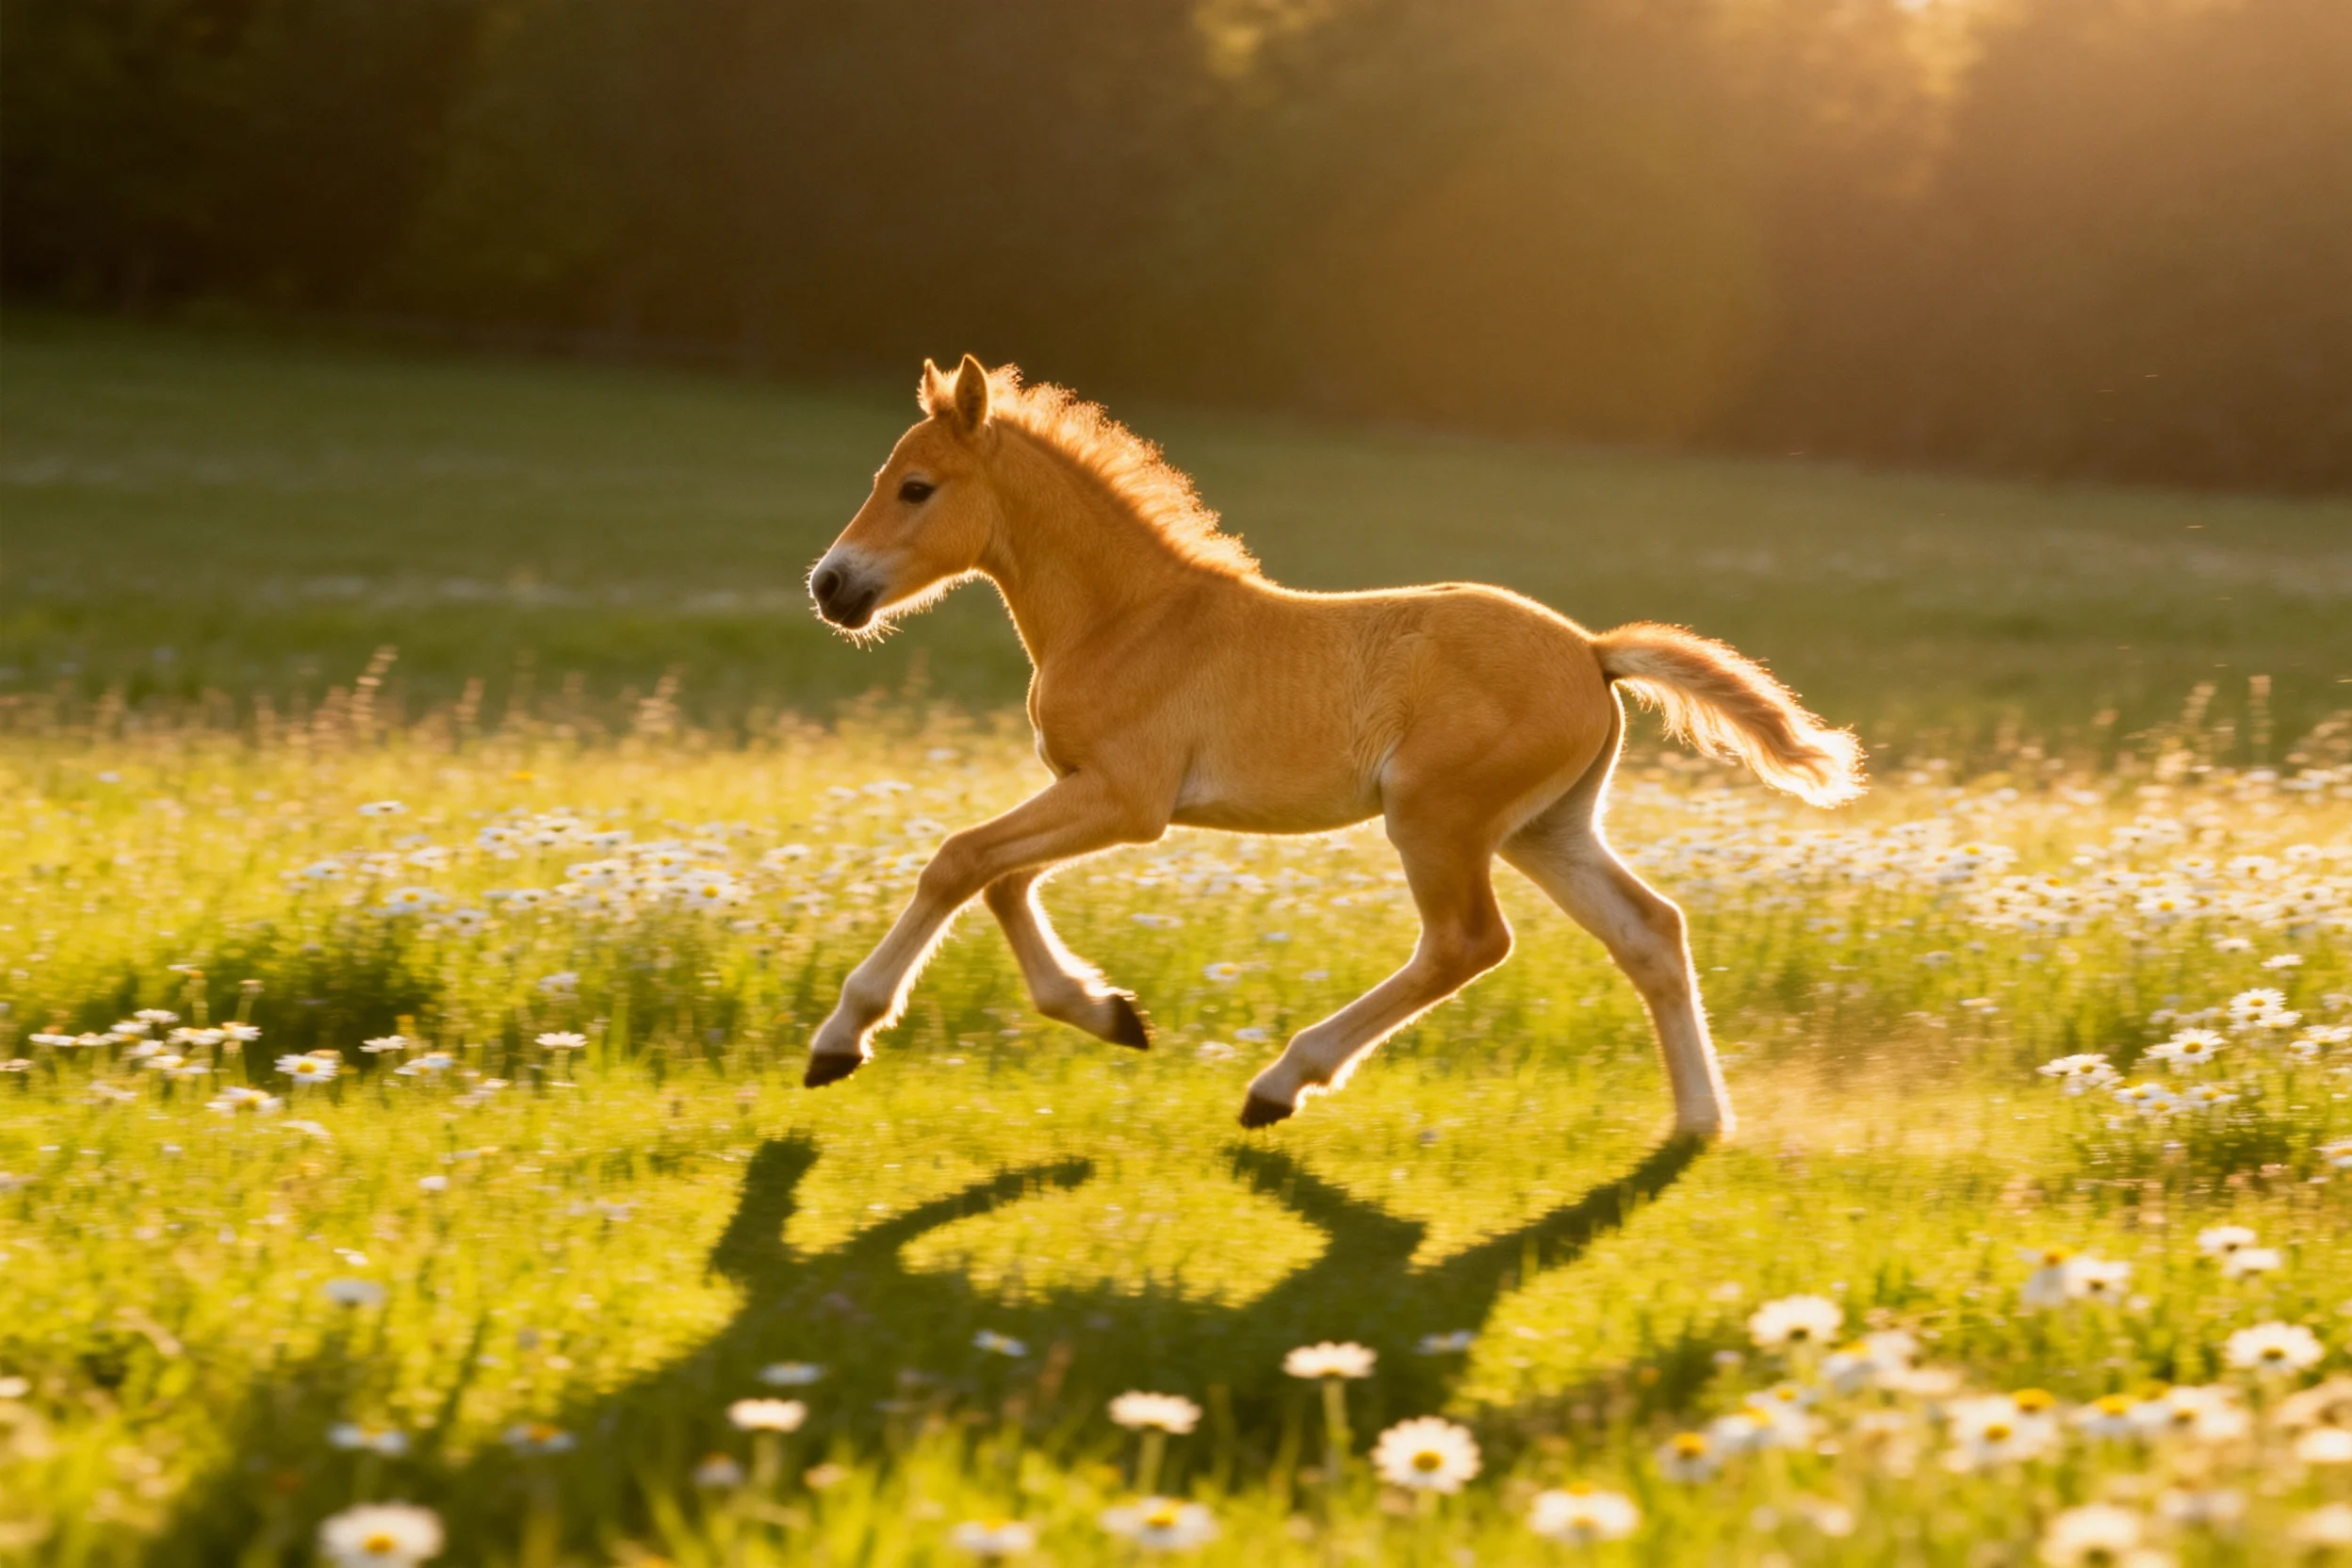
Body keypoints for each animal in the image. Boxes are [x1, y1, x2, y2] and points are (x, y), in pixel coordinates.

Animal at [802, 355, 1865, 1138]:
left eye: (916, 487)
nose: (831, 585)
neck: (1131, 617)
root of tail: (1594, 652)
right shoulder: (1086, 791)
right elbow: (1002, 880)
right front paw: (1107, 1010)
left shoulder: (1127, 799)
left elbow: (961, 861)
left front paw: (842, 1036)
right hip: (1547, 828)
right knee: (1650, 930)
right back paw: (1698, 1122)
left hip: (1438, 817)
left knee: (1469, 941)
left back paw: (1282, 1082)